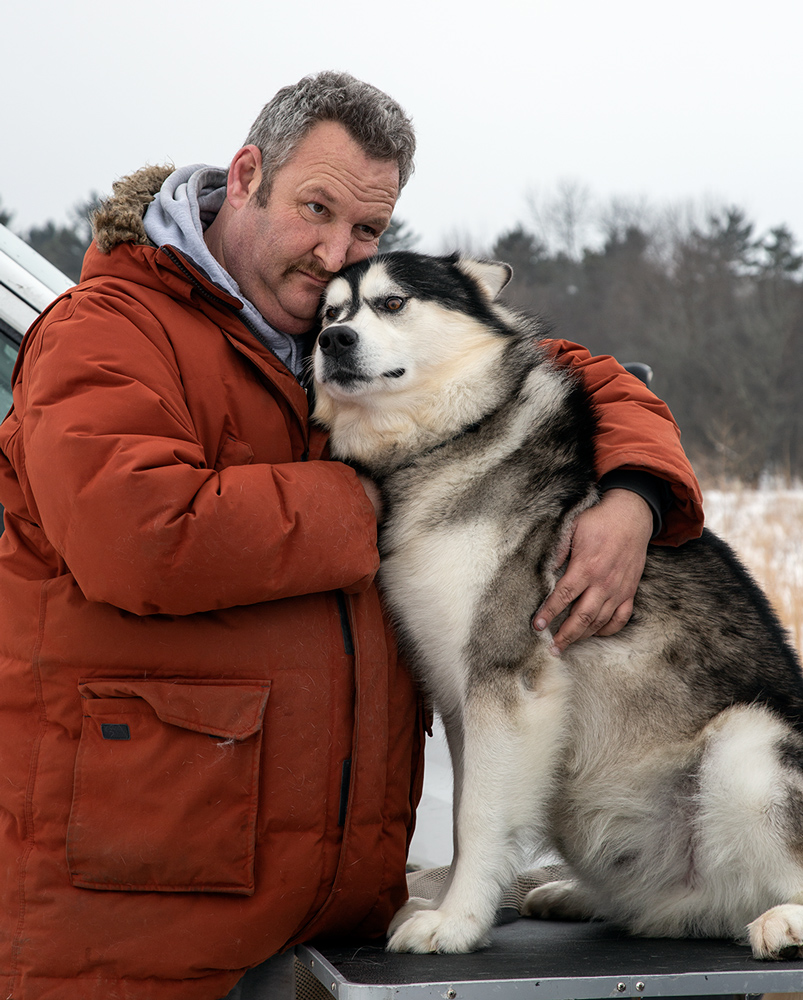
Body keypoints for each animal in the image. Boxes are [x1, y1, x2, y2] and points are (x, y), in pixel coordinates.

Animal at [310, 250, 803, 960]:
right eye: (329, 313)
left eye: (392, 303)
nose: (333, 341)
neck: (446, 440)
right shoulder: (458, 696)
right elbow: (463, 814)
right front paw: (455, 902)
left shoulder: (504, 681)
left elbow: (479, 816)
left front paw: (457, 922)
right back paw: (580, 896)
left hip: (748, 742)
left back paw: (783, 920)